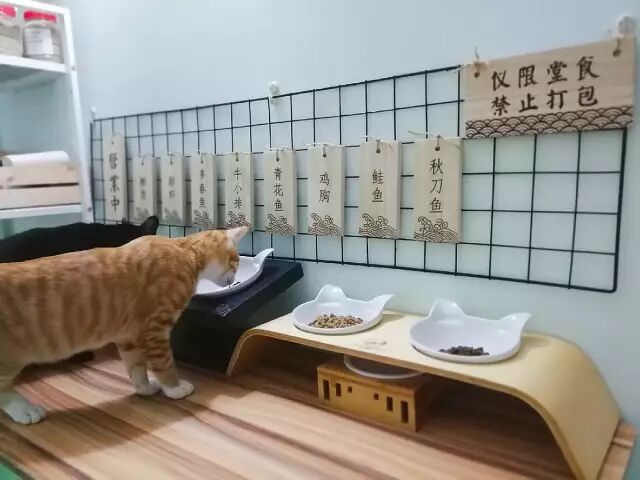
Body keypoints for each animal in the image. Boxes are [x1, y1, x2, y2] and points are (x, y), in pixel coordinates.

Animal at [0, 226, 248, 424]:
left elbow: (136, 368)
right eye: (236, 261)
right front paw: (174, 388)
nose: (234, 278)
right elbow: (165, 363)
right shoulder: (154, 329)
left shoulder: (128, 336)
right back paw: (24, 410)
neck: (185, 251)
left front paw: (145, 388)